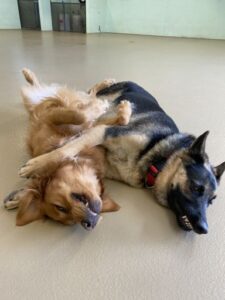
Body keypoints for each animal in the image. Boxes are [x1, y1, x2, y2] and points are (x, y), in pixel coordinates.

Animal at [4, 69, 132, 230]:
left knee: (90, 93)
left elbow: (81, 115)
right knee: (88, 94)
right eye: (61, 208)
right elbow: (82, 117)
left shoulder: (57, 118)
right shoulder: (89, 127)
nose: (89, 224)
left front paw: (118, 108)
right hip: (31, 98)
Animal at [18, 81, 225, 234]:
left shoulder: (101, 140)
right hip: (97, 101)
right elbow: (65, 150)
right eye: (197, 188)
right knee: (91, 95)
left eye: (211, 201)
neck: (157, 157)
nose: (204, 229)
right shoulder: (103, 131)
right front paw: (38, 165)